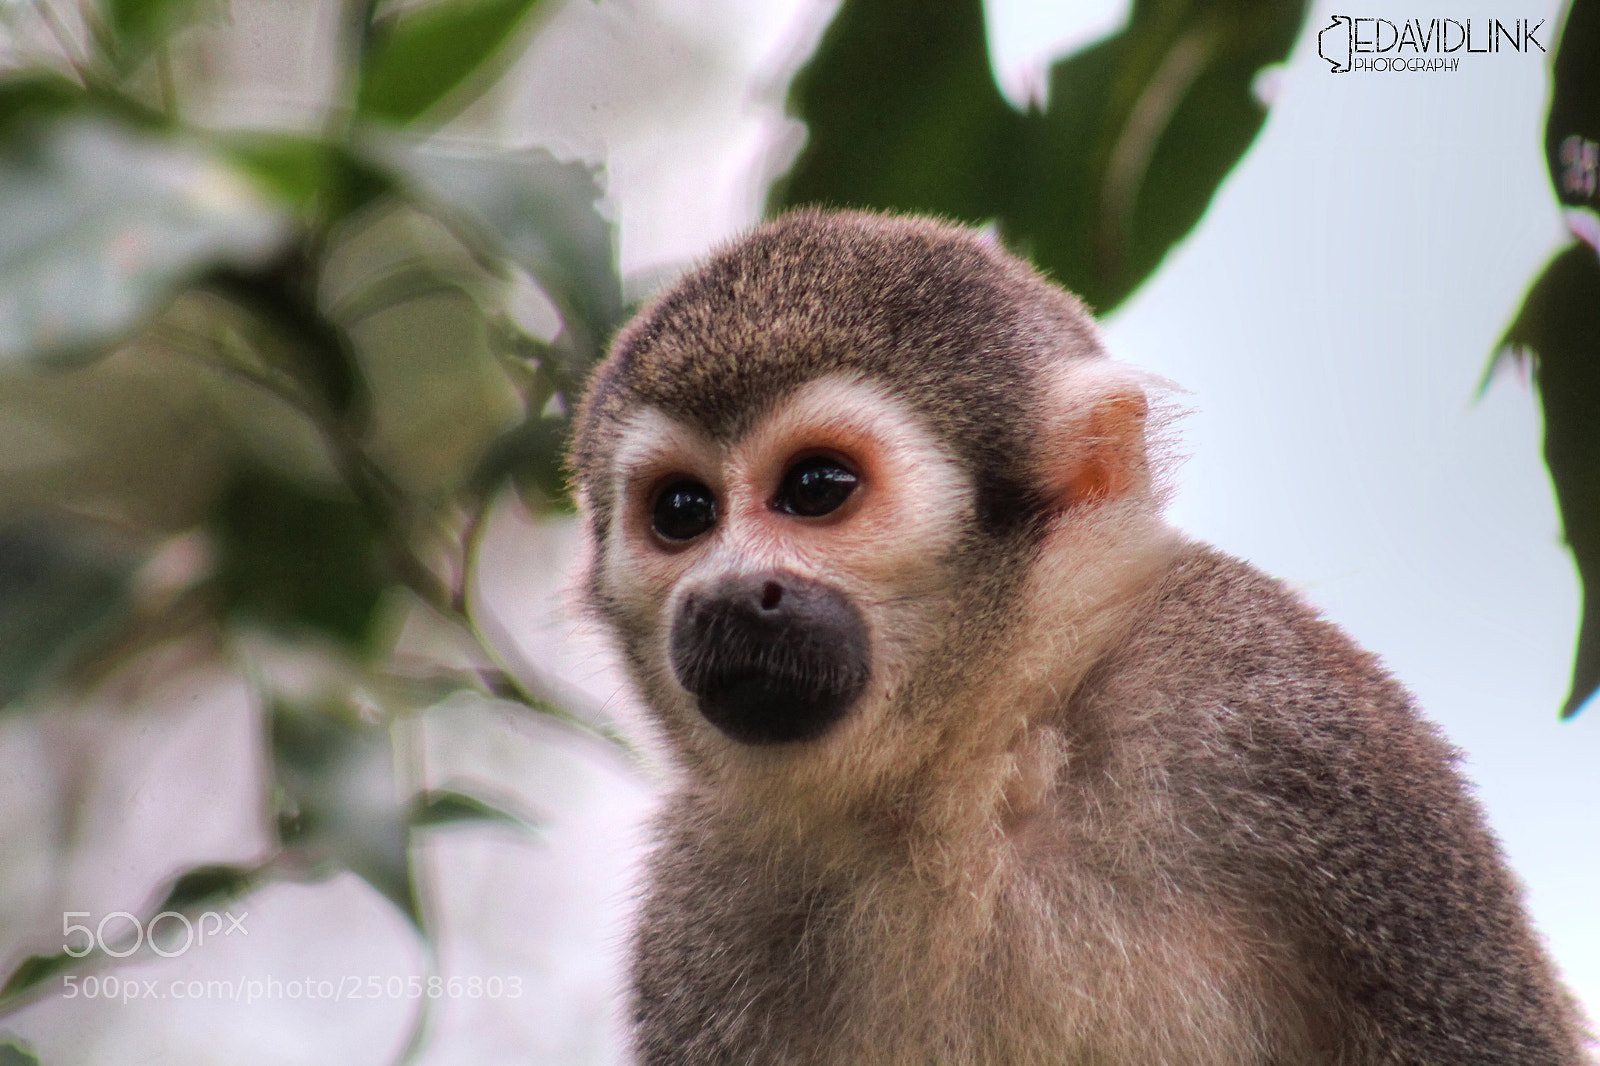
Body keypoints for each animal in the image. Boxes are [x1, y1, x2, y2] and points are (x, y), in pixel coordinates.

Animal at [567, 209, 1592, 1066]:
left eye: (816, 489)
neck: (972, 770)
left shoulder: (1287, 714)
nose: (728, 597)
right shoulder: (701, 902)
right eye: (683, 512)